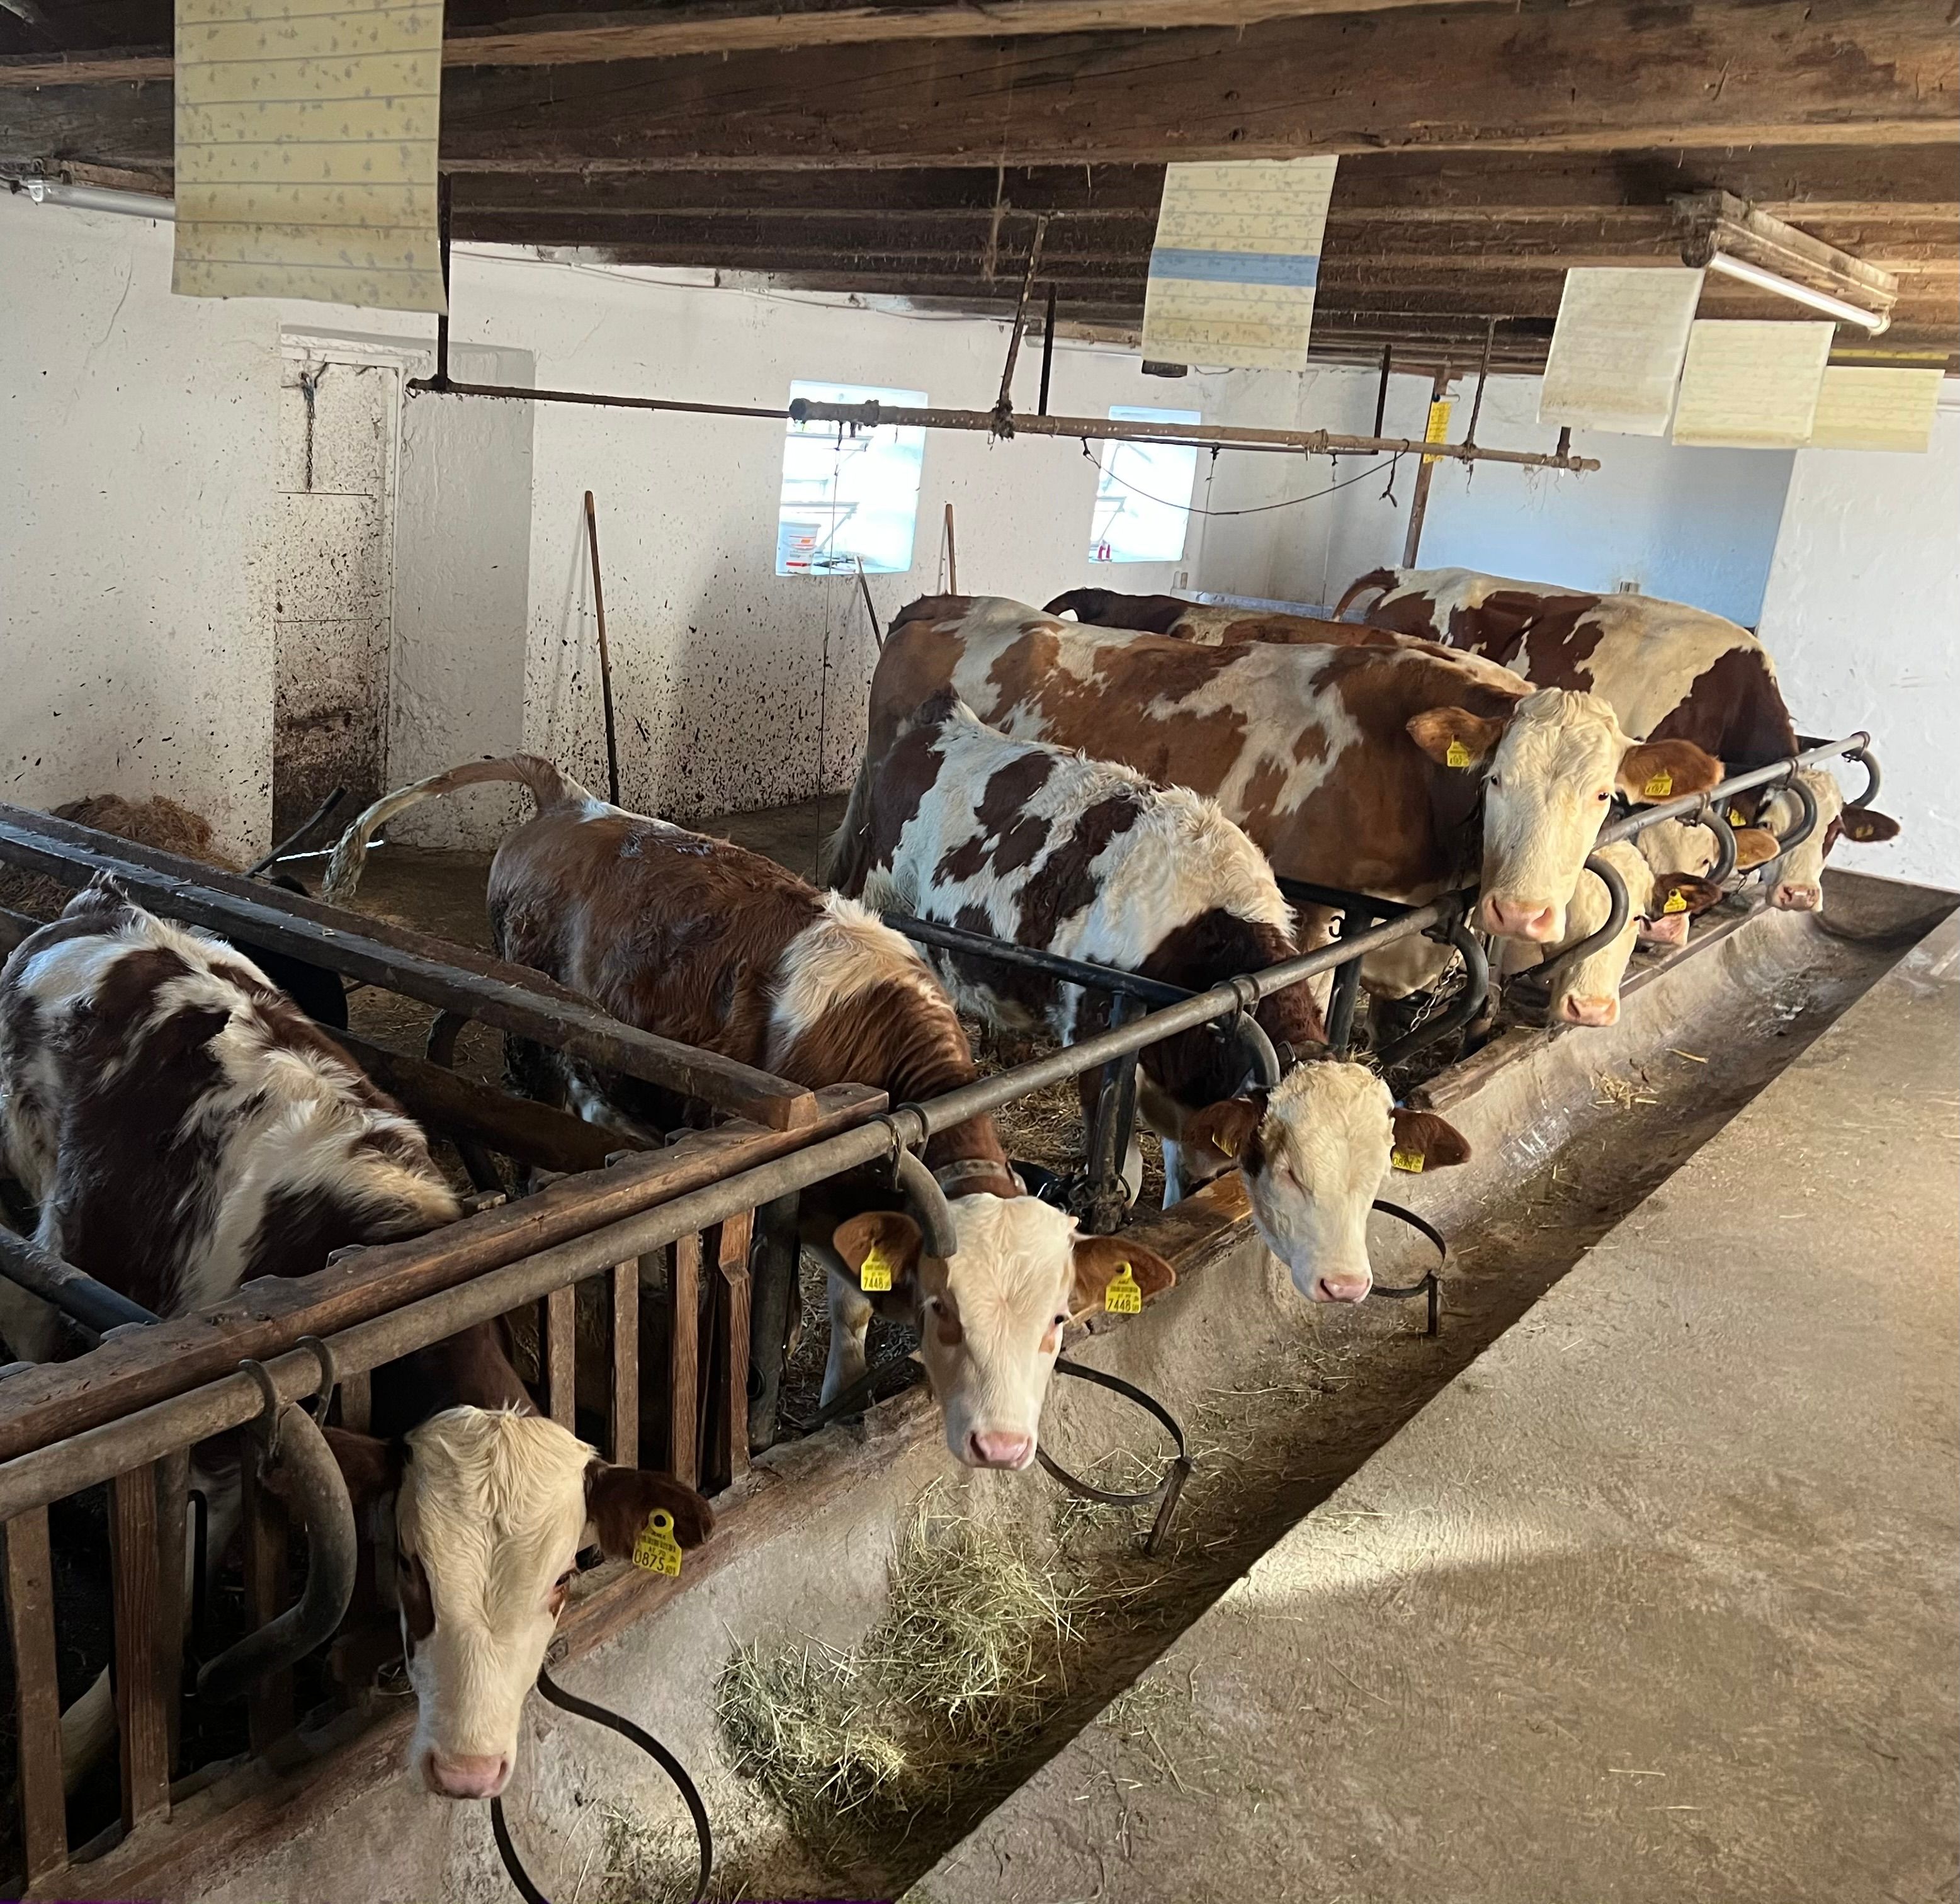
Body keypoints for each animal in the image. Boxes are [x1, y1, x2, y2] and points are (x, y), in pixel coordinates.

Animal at [0, 878, 710, 1802]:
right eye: (409, 1564)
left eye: (563, 1577)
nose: (470, 1770)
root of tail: (110, 904)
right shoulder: (210, 1460)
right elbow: (158, 1613)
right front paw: (77, 1745)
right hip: (43, 1216)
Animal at [322, 757, 1173, 1475]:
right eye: (942, 1309)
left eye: (1058, 1319)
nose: (1003, 1447)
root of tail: (570, 798)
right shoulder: (786, 1203)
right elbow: (777, 1315)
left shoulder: (849, 1199)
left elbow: (851, 1308)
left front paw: (838, 1398)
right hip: (534, 1046)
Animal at [825, 689, 1470, 1296]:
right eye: (1290, 1173)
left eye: (1377, 1176)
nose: (1347, 1285)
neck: (1203, 934)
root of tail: (944, 720)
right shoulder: (1099, 1043)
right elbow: (1121, 1179)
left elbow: (1191, 1175)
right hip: (884, 904)